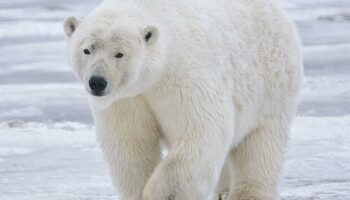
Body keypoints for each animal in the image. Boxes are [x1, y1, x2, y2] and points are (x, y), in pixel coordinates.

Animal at [63, 0, 304, 199]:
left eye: (119, 53)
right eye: (87, 50)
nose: (97, 82)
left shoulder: (183, 74)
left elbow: (201, 131)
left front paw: (158, 194)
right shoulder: (126, 99)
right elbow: (131, 143)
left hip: (271, 86)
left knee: (260, 145)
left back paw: (246, 194)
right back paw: (223, 192)